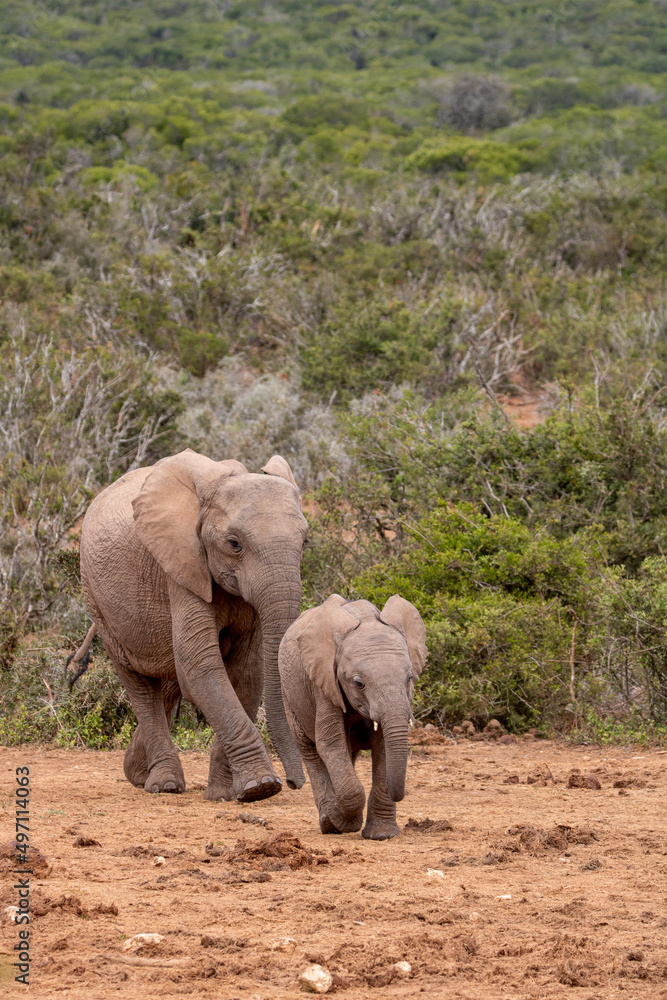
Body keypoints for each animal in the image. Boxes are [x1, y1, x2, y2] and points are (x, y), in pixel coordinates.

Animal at [73, 448, 307, 801]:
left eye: (305, 542)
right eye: (234, 544)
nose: (296, 783)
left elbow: (246, 674)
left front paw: (226, 794)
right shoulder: (181, 565)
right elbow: (201, 665)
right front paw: (261, 787)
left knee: (171, 683)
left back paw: (137, 774)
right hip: (96, 598)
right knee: (140, 685)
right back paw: (164, 784)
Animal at [278, 593, 427, 840]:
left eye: (409, 678)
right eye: (358, 683)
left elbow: (384, 745)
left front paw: (381, 835)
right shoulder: (324, 685)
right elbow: (330, 743)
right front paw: (337, 818)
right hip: (289, 696)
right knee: (311, 750)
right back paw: (328, 822)